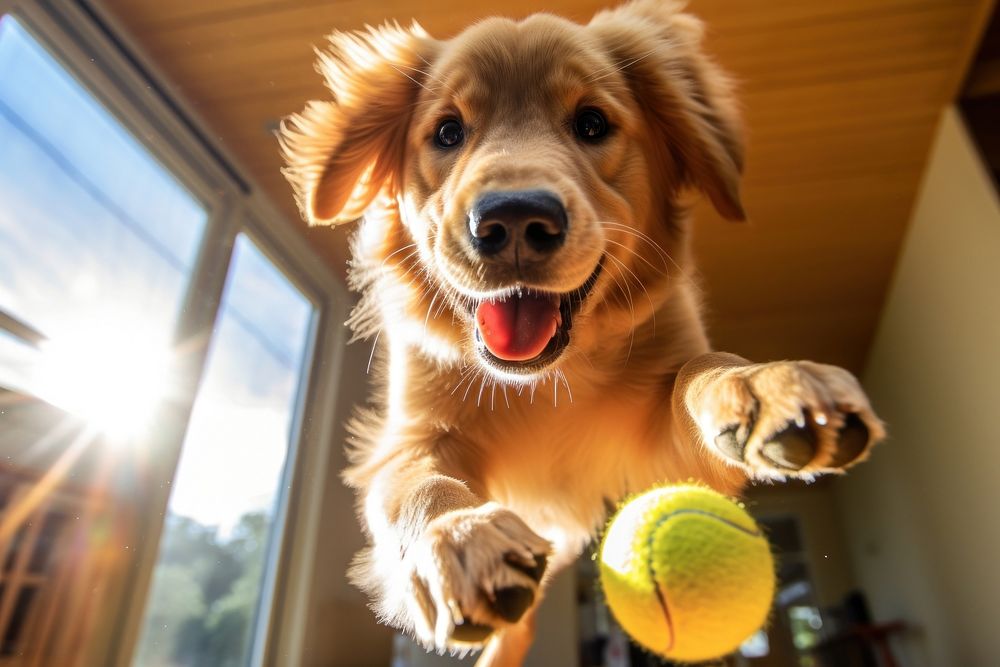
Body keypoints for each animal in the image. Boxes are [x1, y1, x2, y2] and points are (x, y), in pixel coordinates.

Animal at [280, 2, 884, 664]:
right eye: (447, 132)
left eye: (592, 123)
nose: (513, 220)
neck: (544, 378)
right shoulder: (411, 433)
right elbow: (419, 484)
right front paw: (456, 538)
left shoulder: (664, 440)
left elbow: (699, 370)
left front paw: (761, 384)